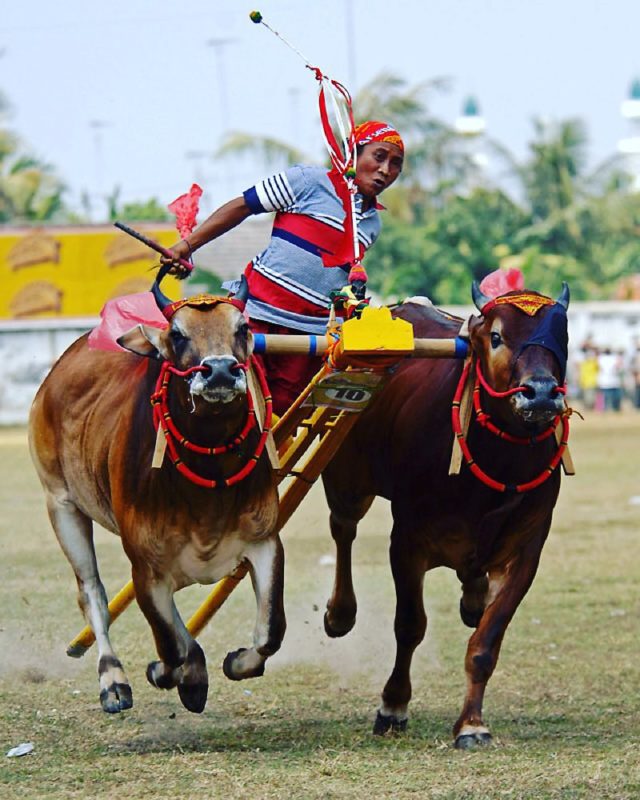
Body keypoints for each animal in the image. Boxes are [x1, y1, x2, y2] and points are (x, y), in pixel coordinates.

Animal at [29, 278, 284, 716]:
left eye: (243, 328)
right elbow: (170, 645)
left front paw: (235, 662)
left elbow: (270, 631)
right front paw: (174, 676)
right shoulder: (145, 564)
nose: (220, 371)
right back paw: (113, 681)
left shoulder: (264, 539)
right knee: (92, 594)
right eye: (178, 334)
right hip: (61, 504)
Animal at [320, 284, 568, 748]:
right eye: (496, 336)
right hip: (347, 479)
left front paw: (471, 723)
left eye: (560, 333)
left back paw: (472, 598)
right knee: (343, 530)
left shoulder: (527, 549)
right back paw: (339, 613)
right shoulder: (407, 541)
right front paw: (393, 706)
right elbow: (409, 626)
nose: (542, 393)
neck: (499, 462)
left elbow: (486, 641)